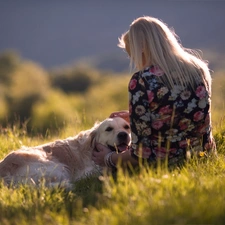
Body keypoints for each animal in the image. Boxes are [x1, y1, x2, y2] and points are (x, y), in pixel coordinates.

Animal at [0, 117, 130, 187]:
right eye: (109, 129)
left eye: (126, 127)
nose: (123, 135)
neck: (92, 148)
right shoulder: (87, 171)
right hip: (56, 167)